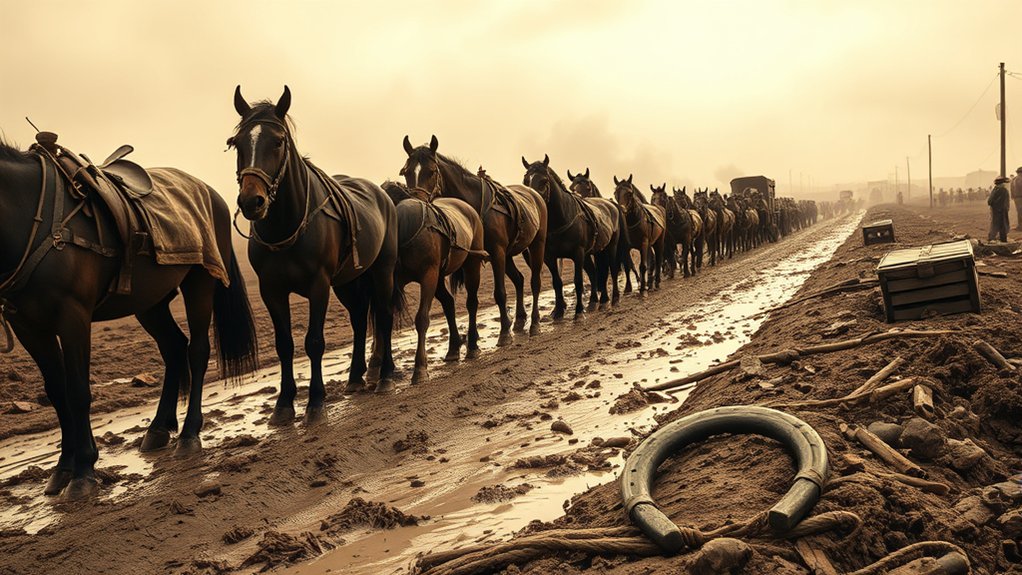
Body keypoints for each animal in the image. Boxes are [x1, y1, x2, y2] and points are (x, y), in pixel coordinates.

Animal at [0, 135, 257, 499]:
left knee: (197, 350)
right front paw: (63, 467)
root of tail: (211, 193)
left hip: (200, 282)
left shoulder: (73, 317)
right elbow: (57, 393)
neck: (31, 219)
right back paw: (158, 429)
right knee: (174, 348)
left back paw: (189, 434)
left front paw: (83, 470)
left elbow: (78, 391)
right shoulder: (29, 327)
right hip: (149, 302)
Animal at [232, 86, 398, 425]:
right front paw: (283, 404)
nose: (251, 201)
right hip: (347, 281)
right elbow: (285, 345)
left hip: (382, 271)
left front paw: (316, 402)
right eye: (237, 143)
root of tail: (381, 193)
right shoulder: (272, 290)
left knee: (385, 314)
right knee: (359, 319)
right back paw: (355, 377)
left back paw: (386, 375)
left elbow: (314, 342)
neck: (288, 225)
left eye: (278, 141)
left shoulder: (318, 285)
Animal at [380, 180, 486, 384]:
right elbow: (385, 323)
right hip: (439, 277)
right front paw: (384, 376)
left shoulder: (428, 275)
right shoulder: (394, 282)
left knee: (472, 302)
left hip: (470, 264)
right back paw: (453, 349)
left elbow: (421, 319)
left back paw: (472, 346)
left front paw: (420, 369)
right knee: (449, 303)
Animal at [401, 136, 546, 346]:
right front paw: (474, 335)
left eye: (432, 171)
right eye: (406, 172)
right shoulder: (477, 257)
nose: (416, 202)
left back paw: (534, 323)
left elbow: (499, 293)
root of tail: (534, 194)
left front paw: (503, 333)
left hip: (537, 245)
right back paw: (520, 319)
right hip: (508, 255)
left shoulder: (496, 252)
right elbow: (472, 298)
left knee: (535, 281)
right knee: (519, 279)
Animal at [523, 156, 621, 314]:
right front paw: (558, 311)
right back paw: (597, 301)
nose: (534, 201)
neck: (562, 219)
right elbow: (557, 281)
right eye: (526, 180)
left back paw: (614, 298)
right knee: (595, 272)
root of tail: (610, 205)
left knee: (611, 268)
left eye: (543, 180)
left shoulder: (578, 253)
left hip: (610, 246)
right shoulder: (550, 257)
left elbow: (578, 280)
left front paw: (579, 311)